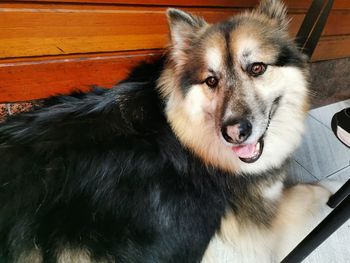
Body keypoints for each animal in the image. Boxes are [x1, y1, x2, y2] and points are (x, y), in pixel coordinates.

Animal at [0, 1, 334, 262]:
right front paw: (327, 189)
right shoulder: (255, 236)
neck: (185, 133)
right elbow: (302, 193)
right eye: (211, 81)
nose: (234, 133)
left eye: (257, 68)